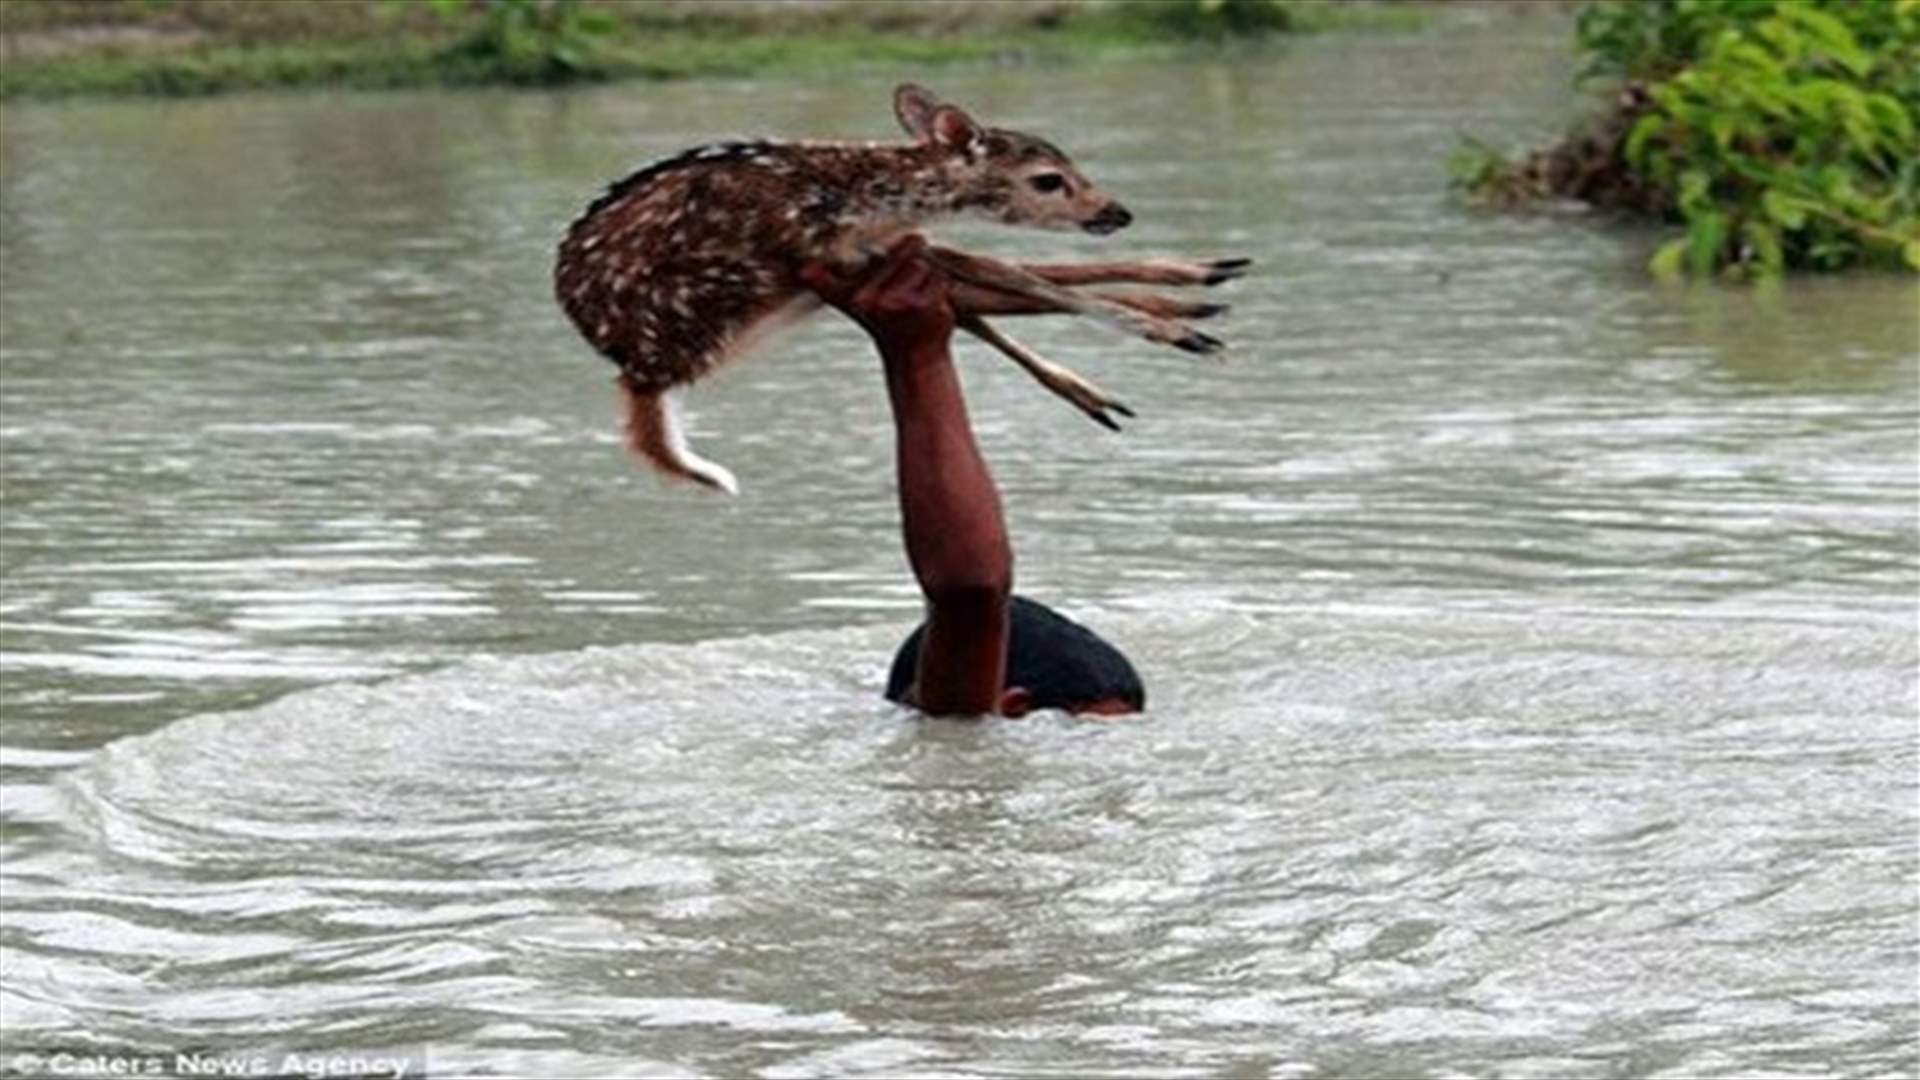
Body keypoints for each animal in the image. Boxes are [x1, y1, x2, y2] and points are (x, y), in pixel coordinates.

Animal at [554, 83, 1248, 494]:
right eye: (1049, 180)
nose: (1116, 212)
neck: (869, 197)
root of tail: (636, 372)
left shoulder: (881, 248)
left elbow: (1021, 276)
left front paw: (1192, 288)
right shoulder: (825, 250)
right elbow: (1022, 275)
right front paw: (1178, 324)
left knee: (979, 298)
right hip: (736, 292)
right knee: (988, 292)